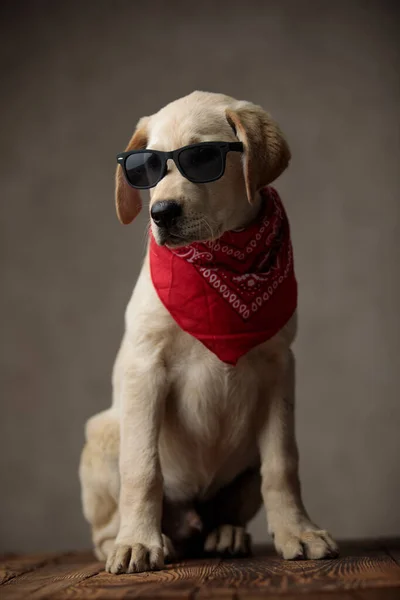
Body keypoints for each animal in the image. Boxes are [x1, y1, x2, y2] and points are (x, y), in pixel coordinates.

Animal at [79, 91, 340, 576]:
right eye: (147, 167)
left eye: (202, 158)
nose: (161, 213)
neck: (219, 261)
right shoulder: (146, 368)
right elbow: (142, 467)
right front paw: (138, 541)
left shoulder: (279, 367)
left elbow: (283, 463)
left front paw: (298, 531)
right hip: (102, 433)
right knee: (107, 525)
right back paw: (137, 540)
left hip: (244, 461)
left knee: (225, 510)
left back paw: (225, 534)